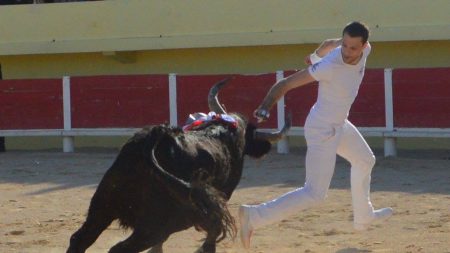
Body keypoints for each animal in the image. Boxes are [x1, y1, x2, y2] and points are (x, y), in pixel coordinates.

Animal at [67, 79, 292, 253]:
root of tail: (149, 144)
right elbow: (211, 233)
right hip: (154, 224)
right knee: (120, 248)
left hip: (102, 206)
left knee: (79, 239)